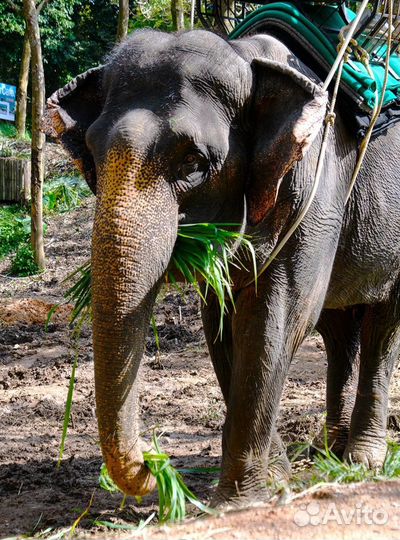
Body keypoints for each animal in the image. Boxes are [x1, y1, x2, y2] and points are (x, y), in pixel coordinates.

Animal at [43, 27, 400, 504]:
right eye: (94, 156)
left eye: (193, 163)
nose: (154, 468)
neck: (245, 56)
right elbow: (221, 320)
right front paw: (277, 478)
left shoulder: (317, 188)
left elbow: (278, 318)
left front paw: (235, 500)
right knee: (339, 329)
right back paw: (329, 450)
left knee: (381, 327)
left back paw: (362, 460)